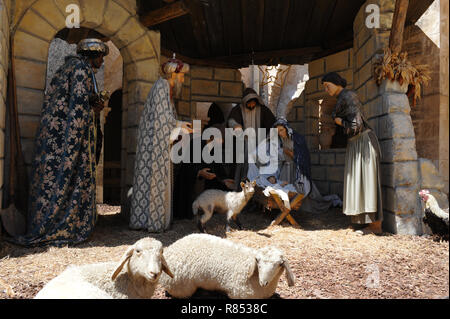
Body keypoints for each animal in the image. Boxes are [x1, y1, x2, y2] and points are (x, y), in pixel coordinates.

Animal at [159, 232, 296, 300]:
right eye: (258, 261)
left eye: (279, 264)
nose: (263, 282)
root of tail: (171, 247)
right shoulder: (239, 295)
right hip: (182, 287)